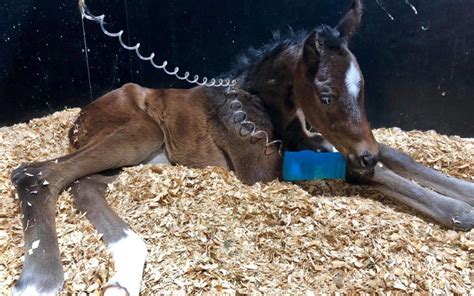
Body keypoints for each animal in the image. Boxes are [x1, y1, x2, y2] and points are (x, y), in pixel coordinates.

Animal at [10, 1, 474, 294]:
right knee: (36, 173)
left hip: (127, 158)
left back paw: (124, 273)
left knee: (82, 183)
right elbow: (364, 174)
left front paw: (462, 191)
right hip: (140, 133)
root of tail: (78, 118)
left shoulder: (312, 140)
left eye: (362, 88)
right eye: (325, 95)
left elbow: (394, 154)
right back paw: (40, 280)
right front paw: (459, 211)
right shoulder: (265, 169)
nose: (365, 153)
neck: (260, 106)